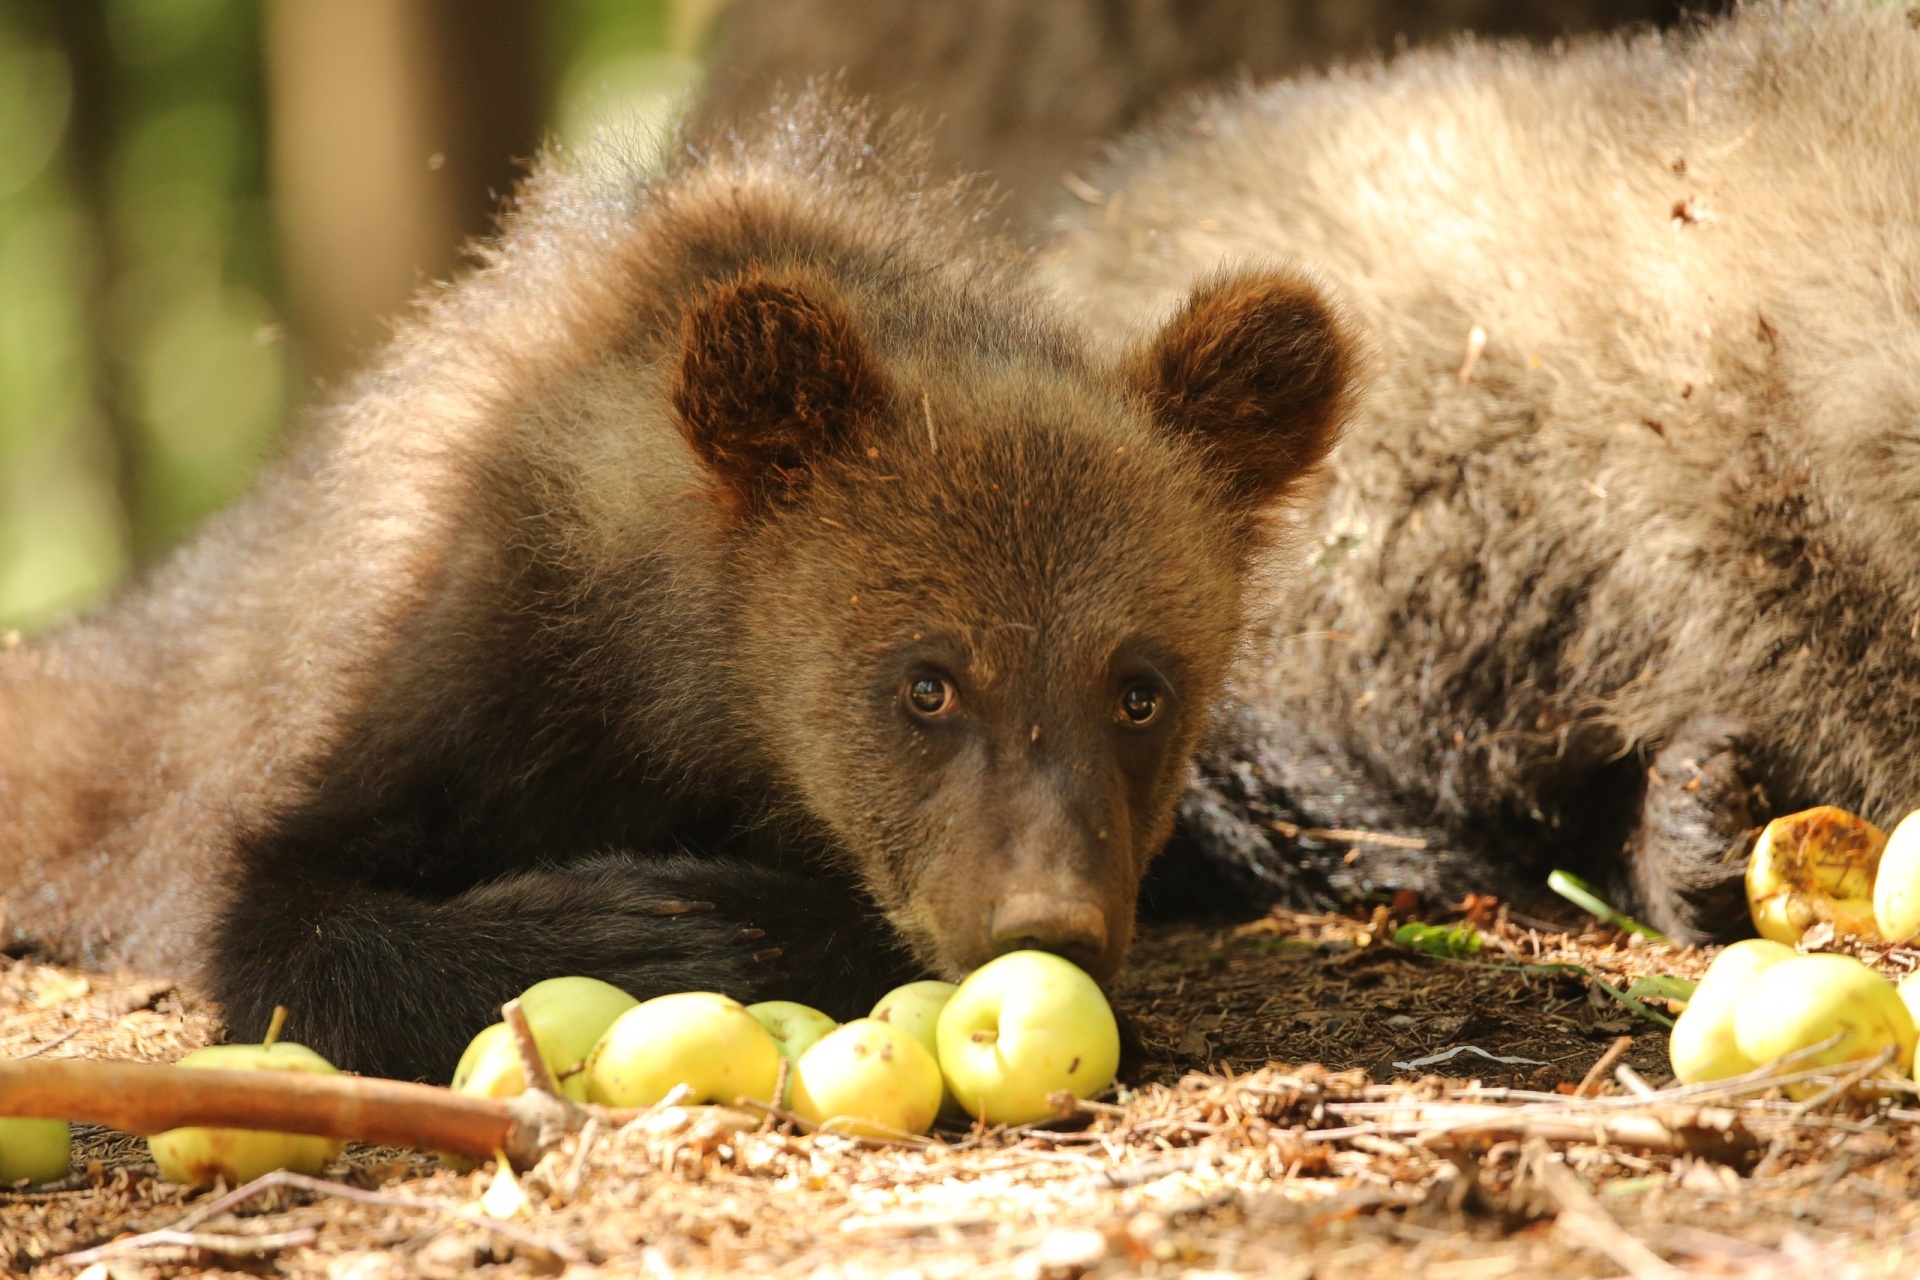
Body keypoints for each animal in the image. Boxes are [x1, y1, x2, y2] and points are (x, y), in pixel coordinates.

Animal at [3, 100, 1351, 1082]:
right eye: (926, 681)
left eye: (1140, 688)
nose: (1047, 923)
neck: (685, 683)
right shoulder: (455, 662)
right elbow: (283, 910)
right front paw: (654, 923)